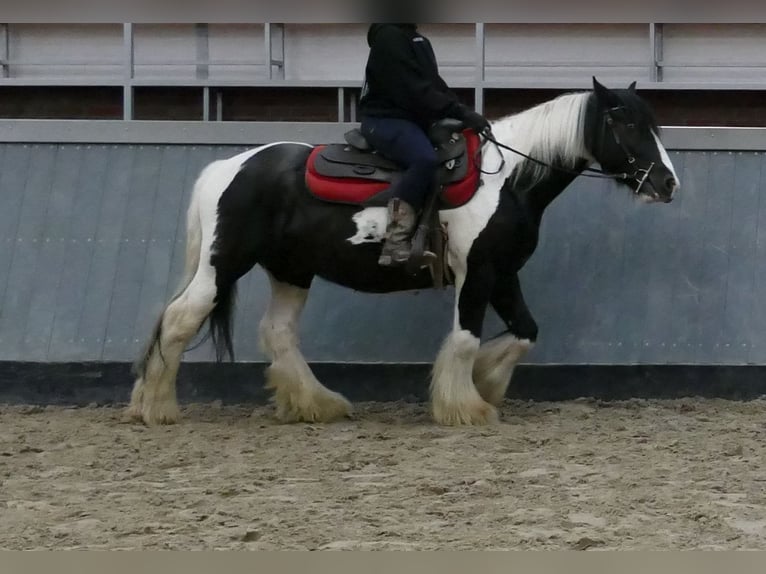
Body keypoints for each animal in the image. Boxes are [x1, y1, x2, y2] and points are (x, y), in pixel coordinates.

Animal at [127, 77, 680, 427]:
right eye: (627, 126)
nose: (668, 184)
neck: (506, 180)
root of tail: (226, 167)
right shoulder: (477, 273)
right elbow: (465, 339)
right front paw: (465, 406)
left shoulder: (503, 273)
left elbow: (525, 332)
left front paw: (484, 384)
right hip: (223, 264)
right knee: (179, 319)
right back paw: (155, 407)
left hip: (292, 270)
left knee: (277, 332)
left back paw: (317, 403)